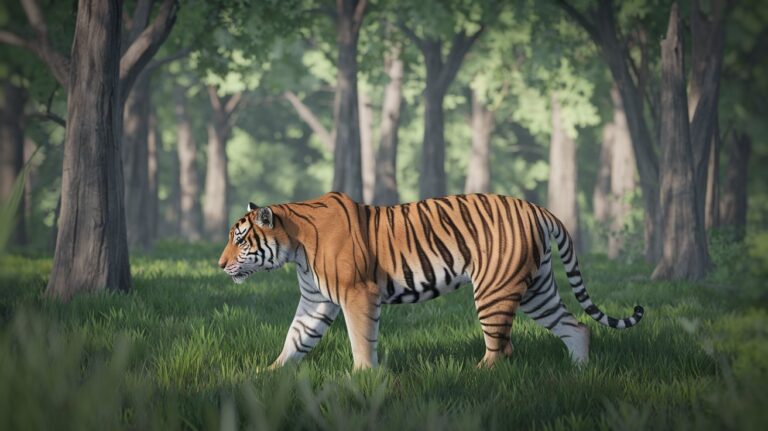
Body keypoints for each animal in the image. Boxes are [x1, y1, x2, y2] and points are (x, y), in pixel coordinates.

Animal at [217, 192, 644, 369]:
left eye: (240, 238)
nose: (219, 265)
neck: (295, 247)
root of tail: (537, 208)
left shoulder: (358, 295)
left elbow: (361, 340)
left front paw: (362, 378)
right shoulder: (315, 300)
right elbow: (296, 338)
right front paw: (270, 374)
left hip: (495, 290)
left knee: (502, 349)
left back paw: (475, 377)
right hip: (537, 290)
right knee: (576, 327)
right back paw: (580, 374)